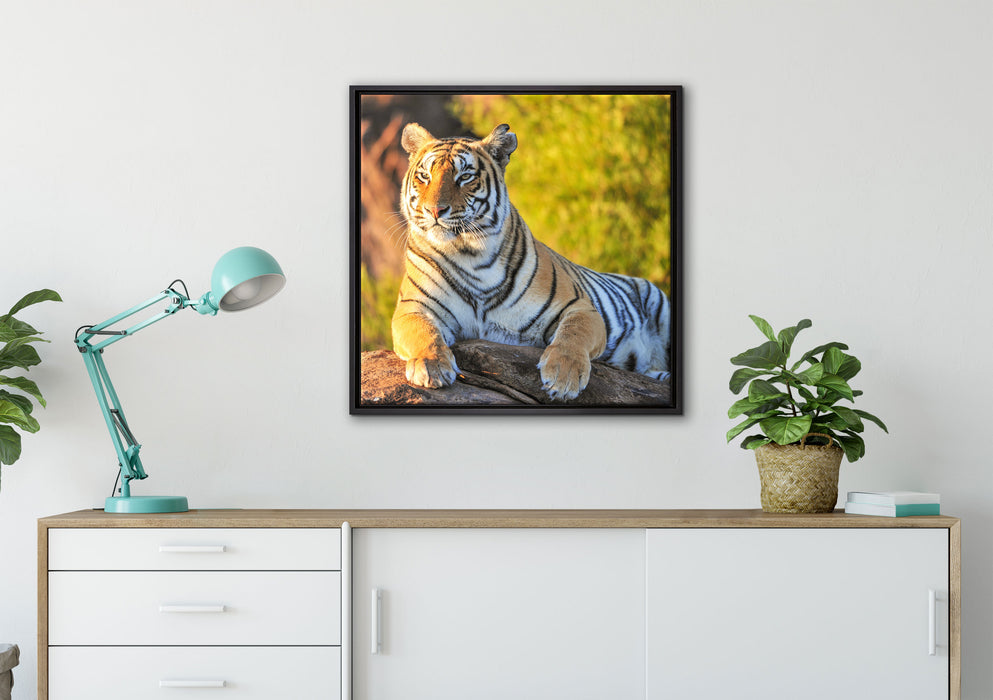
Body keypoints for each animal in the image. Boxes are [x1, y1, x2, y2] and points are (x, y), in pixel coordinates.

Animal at [392, 122, 672, 401]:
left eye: (465, 177)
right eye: (424, 176)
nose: (434, 210)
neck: (469, 254)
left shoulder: (579, 306)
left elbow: (573, 334)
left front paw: (563, 377)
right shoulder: (412, 307)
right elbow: (423, 333)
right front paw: (431, 366)